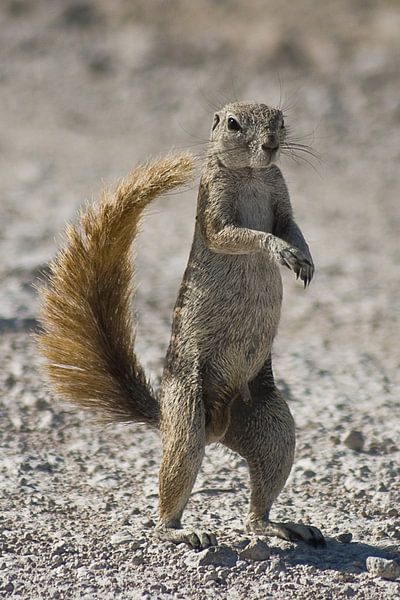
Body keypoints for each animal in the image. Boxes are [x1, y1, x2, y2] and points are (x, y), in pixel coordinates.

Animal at [37, 102, 324, 548]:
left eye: (280, 119)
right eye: (233, 124)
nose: (272, 144)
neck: (252, 174)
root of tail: (217, 428)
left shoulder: (281, 197)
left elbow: (291, 225)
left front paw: (304, 257)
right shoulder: (214, 209)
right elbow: (236, 234)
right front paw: (279, 250)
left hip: (274, 426)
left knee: (255, 509)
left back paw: (279, 524)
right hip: (188, 416)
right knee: (174, 485)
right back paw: (179, 531)